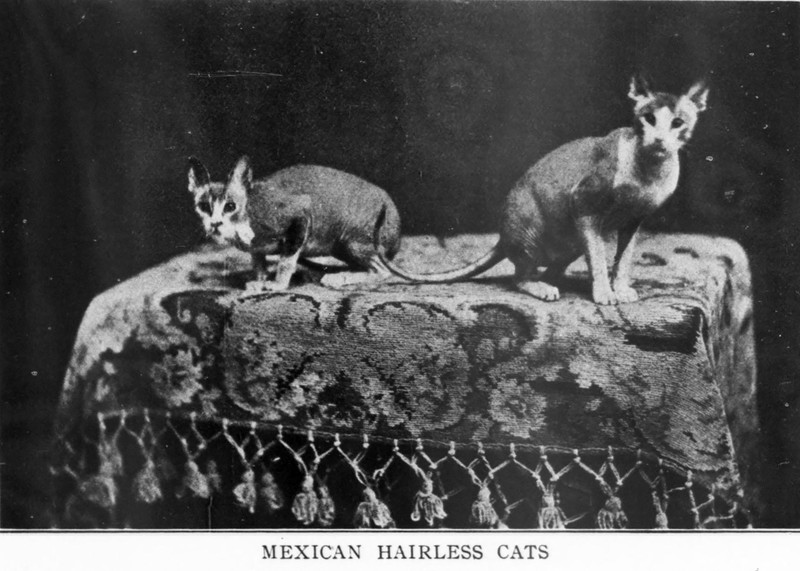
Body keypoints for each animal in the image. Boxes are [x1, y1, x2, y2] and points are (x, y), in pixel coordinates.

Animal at [188, 156, 401, 291]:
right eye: (204, 206)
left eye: (230, 206)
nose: (215, 223)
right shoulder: (256, 247)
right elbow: (258, 263)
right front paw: (259, 281)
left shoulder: (301, 213)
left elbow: (286, 261)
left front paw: (278, 285)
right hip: (341, 246)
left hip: (352, 240)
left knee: (383, 271)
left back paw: (339, 278)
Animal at [375, 75, 709, 305]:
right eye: (649, 119)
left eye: (678, 123)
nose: (659, 140)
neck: (649, 170)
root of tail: (503, 237)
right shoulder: (583, 203)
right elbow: (599, 257)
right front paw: (604, 293)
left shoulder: (634, 221)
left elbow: (623, 258)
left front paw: (621, 287)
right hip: (532, 229)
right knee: (519, 277)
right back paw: (542, 287)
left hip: (568, 243)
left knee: (551, 265)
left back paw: (553, 280)